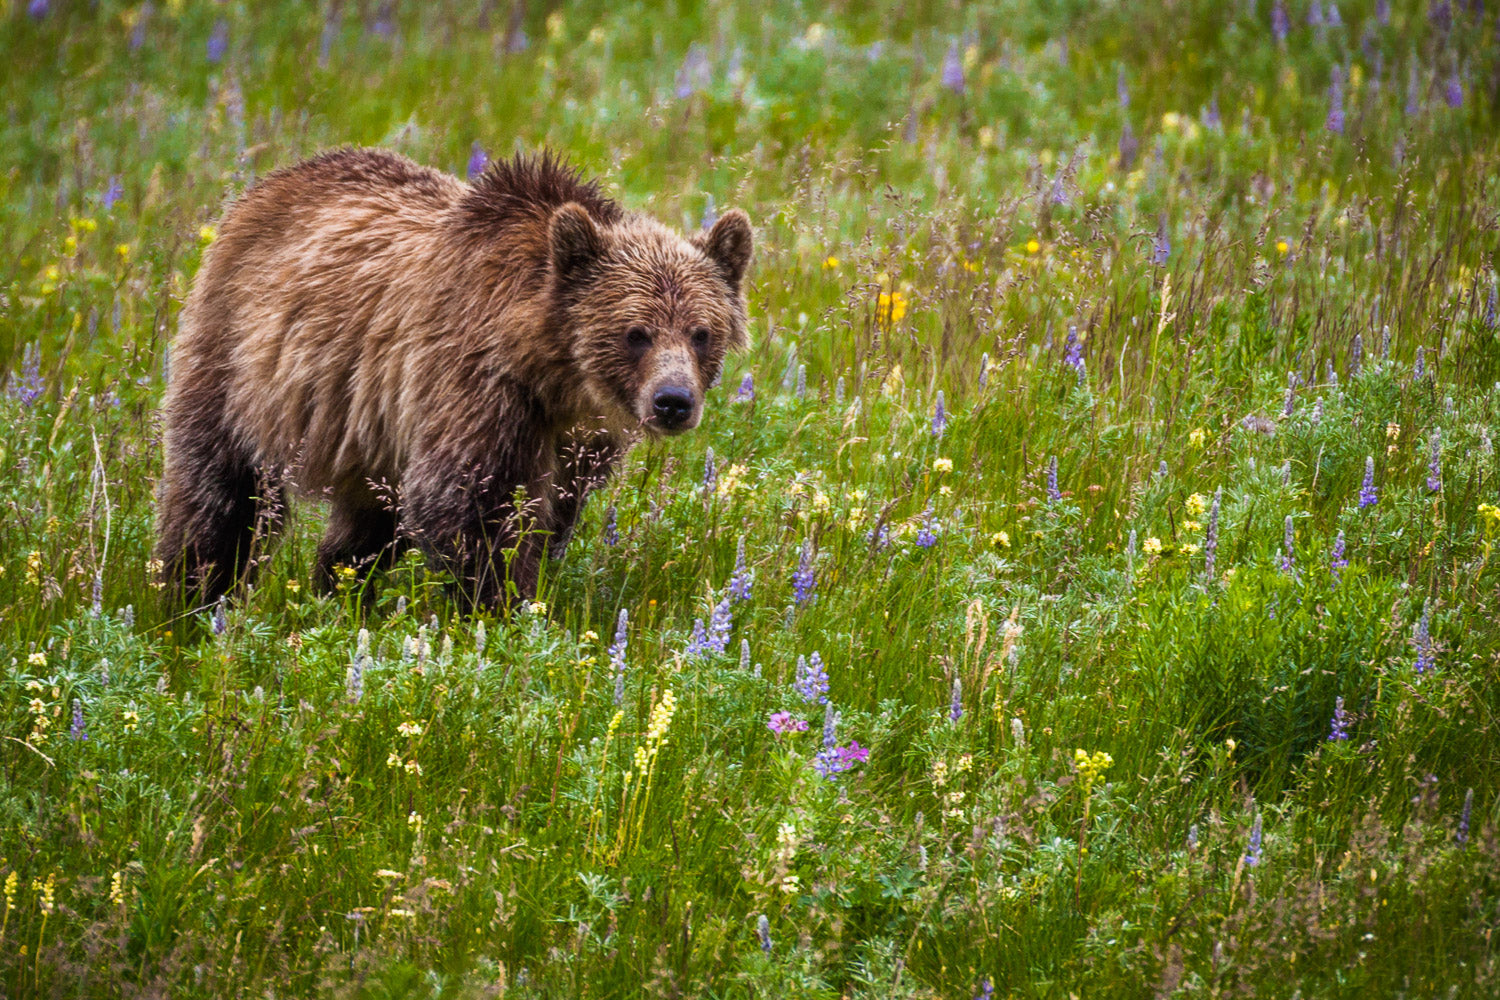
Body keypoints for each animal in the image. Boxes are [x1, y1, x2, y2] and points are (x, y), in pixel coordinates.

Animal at [155, 147, 752, 610]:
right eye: (636, 332)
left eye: (701, 332)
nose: (673, 401)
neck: (554, 375)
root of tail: (273, 181)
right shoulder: (478, 391)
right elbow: (470, 510)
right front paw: (503, 608)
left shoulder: (578, 441)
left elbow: (551, 515)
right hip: (239, 359)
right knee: (221, 492)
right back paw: (193, 599)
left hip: (369, 432)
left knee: (365, 527)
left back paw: (338, 593)